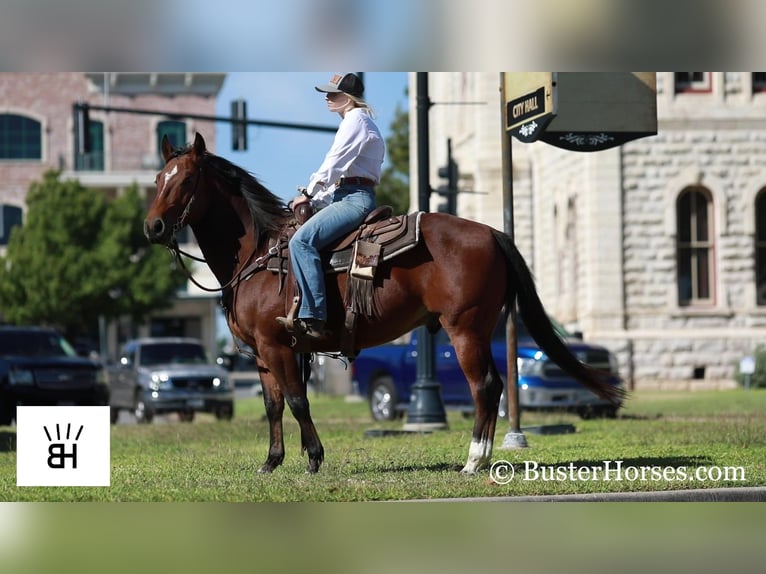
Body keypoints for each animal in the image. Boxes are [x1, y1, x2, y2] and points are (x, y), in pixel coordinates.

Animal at [144, 135, 624, 476]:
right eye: (157, 181)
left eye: (186, 181)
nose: (154, 227)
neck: (259, 255)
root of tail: (491, 232)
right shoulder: (262, 354)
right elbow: (273, 406)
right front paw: (272, 461)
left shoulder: (278, 346)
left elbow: (298, 401)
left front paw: (314, 458)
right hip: (480, 329)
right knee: (494, 385)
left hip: (465, 329)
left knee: (485, 386)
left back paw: (473, 461)